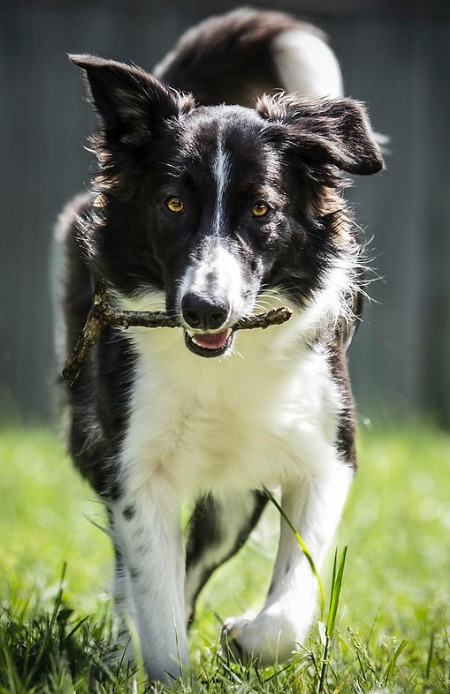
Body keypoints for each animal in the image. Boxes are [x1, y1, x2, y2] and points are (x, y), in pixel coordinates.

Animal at [56, 8, 384, 688]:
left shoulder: (327, 454)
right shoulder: (135, 471)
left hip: (235, 499)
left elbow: (291, 603)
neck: (226, 363)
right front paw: (163, 670)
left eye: (261, 208)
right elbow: (156, 602)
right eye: (173, 202)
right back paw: (117, 654)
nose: (205, 309)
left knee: (196, 562)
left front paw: (246, 637)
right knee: (136, 577)